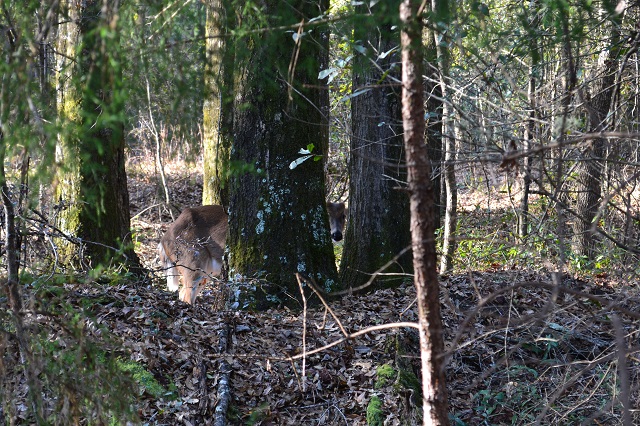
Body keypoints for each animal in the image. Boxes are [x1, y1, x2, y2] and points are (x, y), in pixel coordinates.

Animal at [160, 202, 350, 304]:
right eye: (326, 214)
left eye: (343, 216)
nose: (337, 235)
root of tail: (164, 239)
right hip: (192, 258)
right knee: (185, 294)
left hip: (205, 269)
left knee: (184, 294)